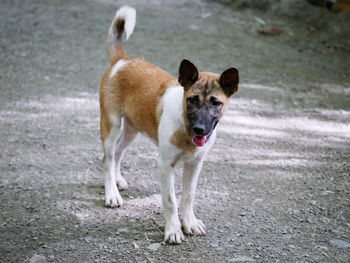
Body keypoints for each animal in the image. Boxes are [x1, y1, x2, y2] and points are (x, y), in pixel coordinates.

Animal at [100, 5, 239, 245]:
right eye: (192, 100)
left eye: (216, 103)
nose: (200, 130)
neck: (185, 125)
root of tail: (122, 61)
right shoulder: (165, 165)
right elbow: (170, 200)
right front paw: (173, 230)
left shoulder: (194, 164)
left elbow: (189, 195)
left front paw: (189, 223)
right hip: (112, 126)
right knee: (108, 159)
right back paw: (112, 194)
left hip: (132, 129)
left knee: (118, 153)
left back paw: (118, 181)